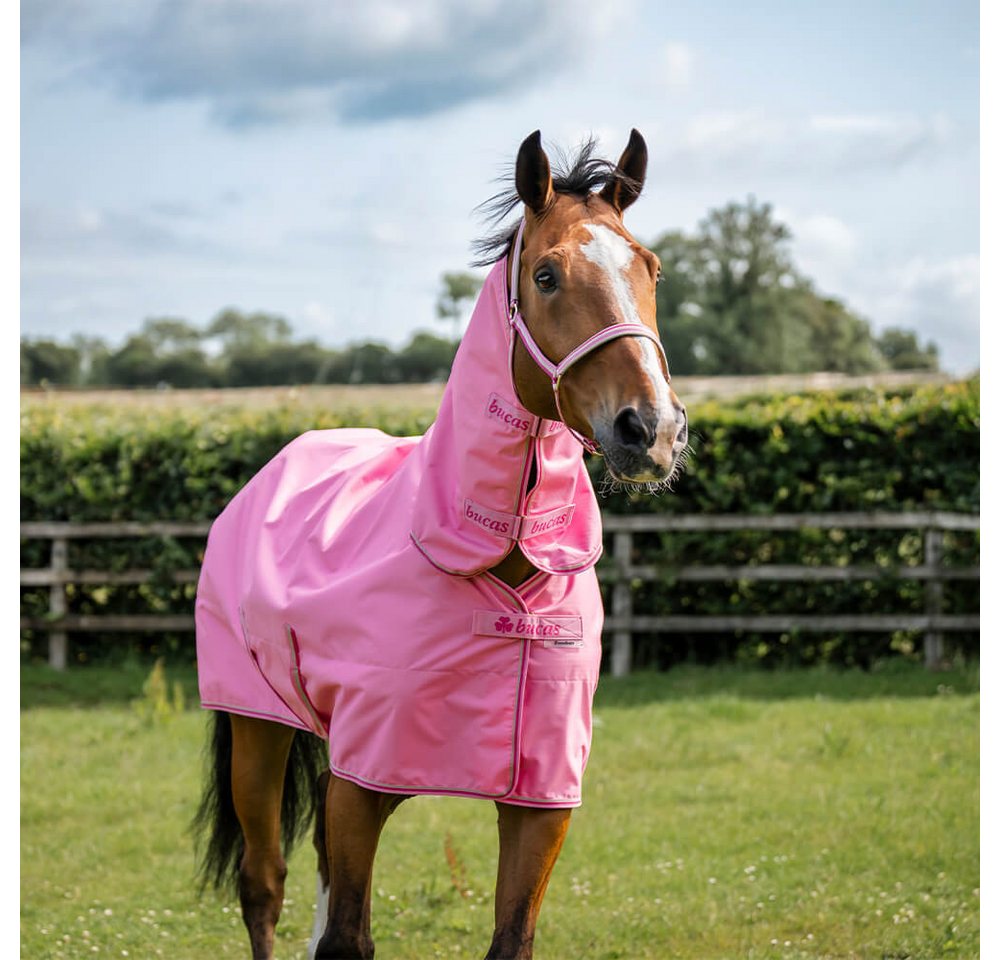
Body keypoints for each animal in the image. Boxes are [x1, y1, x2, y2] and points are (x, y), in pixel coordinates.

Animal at [192, 128, 688, 960]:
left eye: (650, 268)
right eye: (546, 275)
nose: (650, 428)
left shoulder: (538, 802)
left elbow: (507, 940)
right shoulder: (361, 785)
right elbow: (346, 940)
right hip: (260, 734)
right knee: (263, 884)